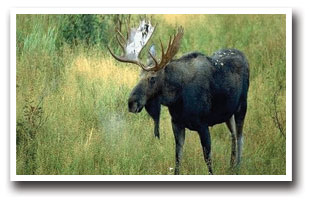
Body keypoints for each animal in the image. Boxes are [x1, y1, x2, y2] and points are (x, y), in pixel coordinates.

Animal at [107, 19, 249, 175]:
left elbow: (208, 160)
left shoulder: (203, 124)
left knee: (240, 136)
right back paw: (231, 165)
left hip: (242, 106)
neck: (176, 99)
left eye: (152, 78)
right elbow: (177, 157)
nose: (131, 103)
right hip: (228, 113)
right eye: (139, 75)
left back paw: (238, 166)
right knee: (233, 135)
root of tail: (244, 56)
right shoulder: (176, 123)